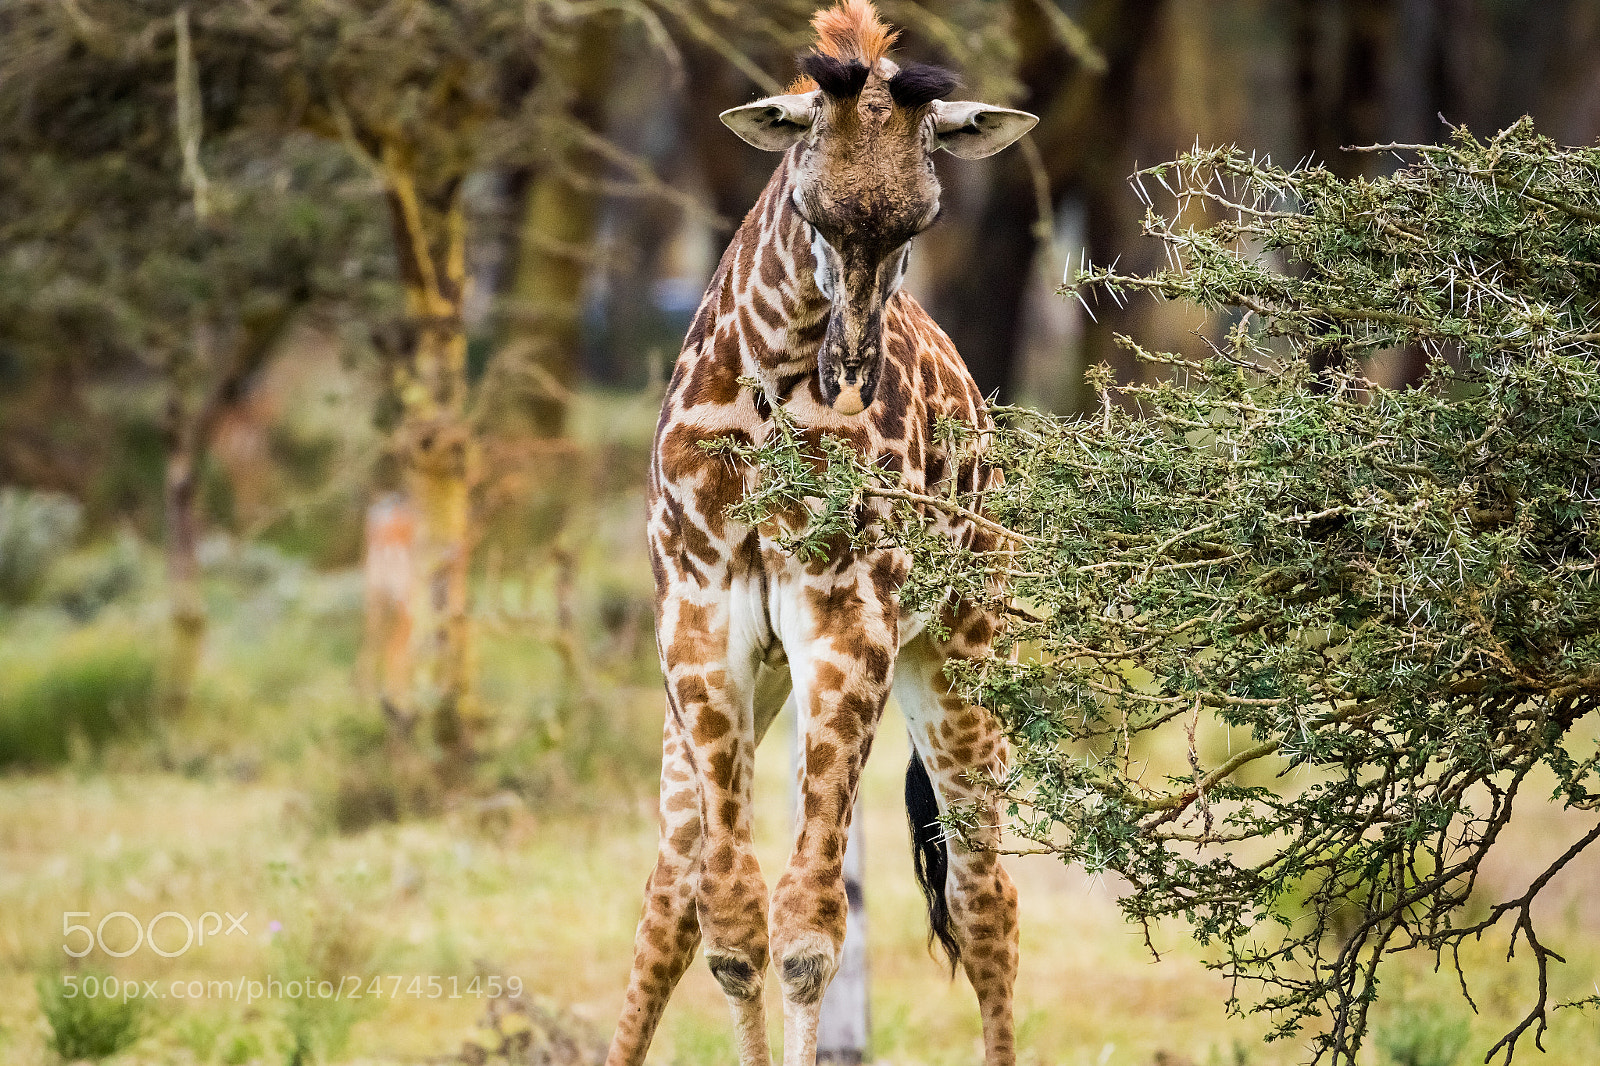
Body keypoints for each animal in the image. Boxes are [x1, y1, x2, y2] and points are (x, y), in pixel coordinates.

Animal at [608, 4, 1037, 1065]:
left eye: (923, 219)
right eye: (809, 208)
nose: (851, 373)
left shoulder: (850, 621)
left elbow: (807, 928)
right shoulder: (697, 622)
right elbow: (727, 920)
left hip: (960, 654)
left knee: (986, 897)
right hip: (761, 682)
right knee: (668, 896)